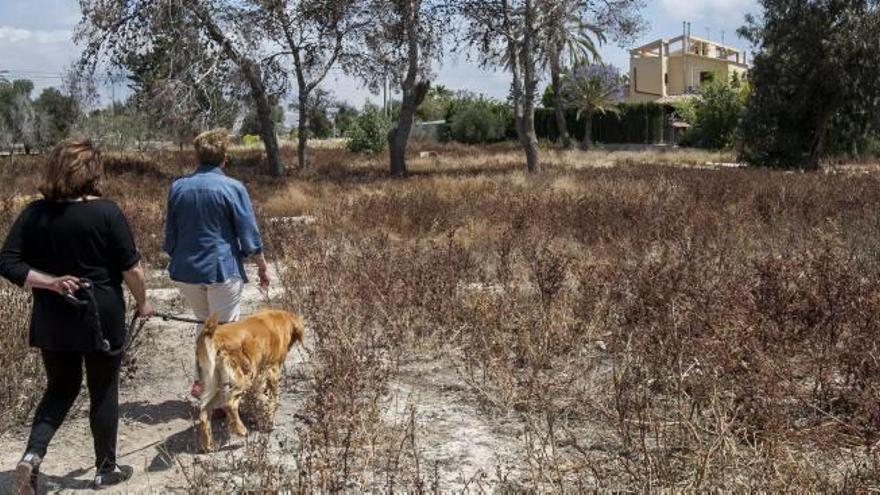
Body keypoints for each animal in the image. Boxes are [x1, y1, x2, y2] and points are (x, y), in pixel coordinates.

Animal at [194, 308, 304, 452]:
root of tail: (211, 336)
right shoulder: (272, 371)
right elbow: (275, 400)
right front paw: (269, 416)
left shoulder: (259, 376)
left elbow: (262, 397)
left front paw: (265, 409)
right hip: (242, 380)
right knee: (229, 404)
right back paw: (241, 430)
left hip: (218, 384)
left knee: (204, 411)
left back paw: (208, 445)